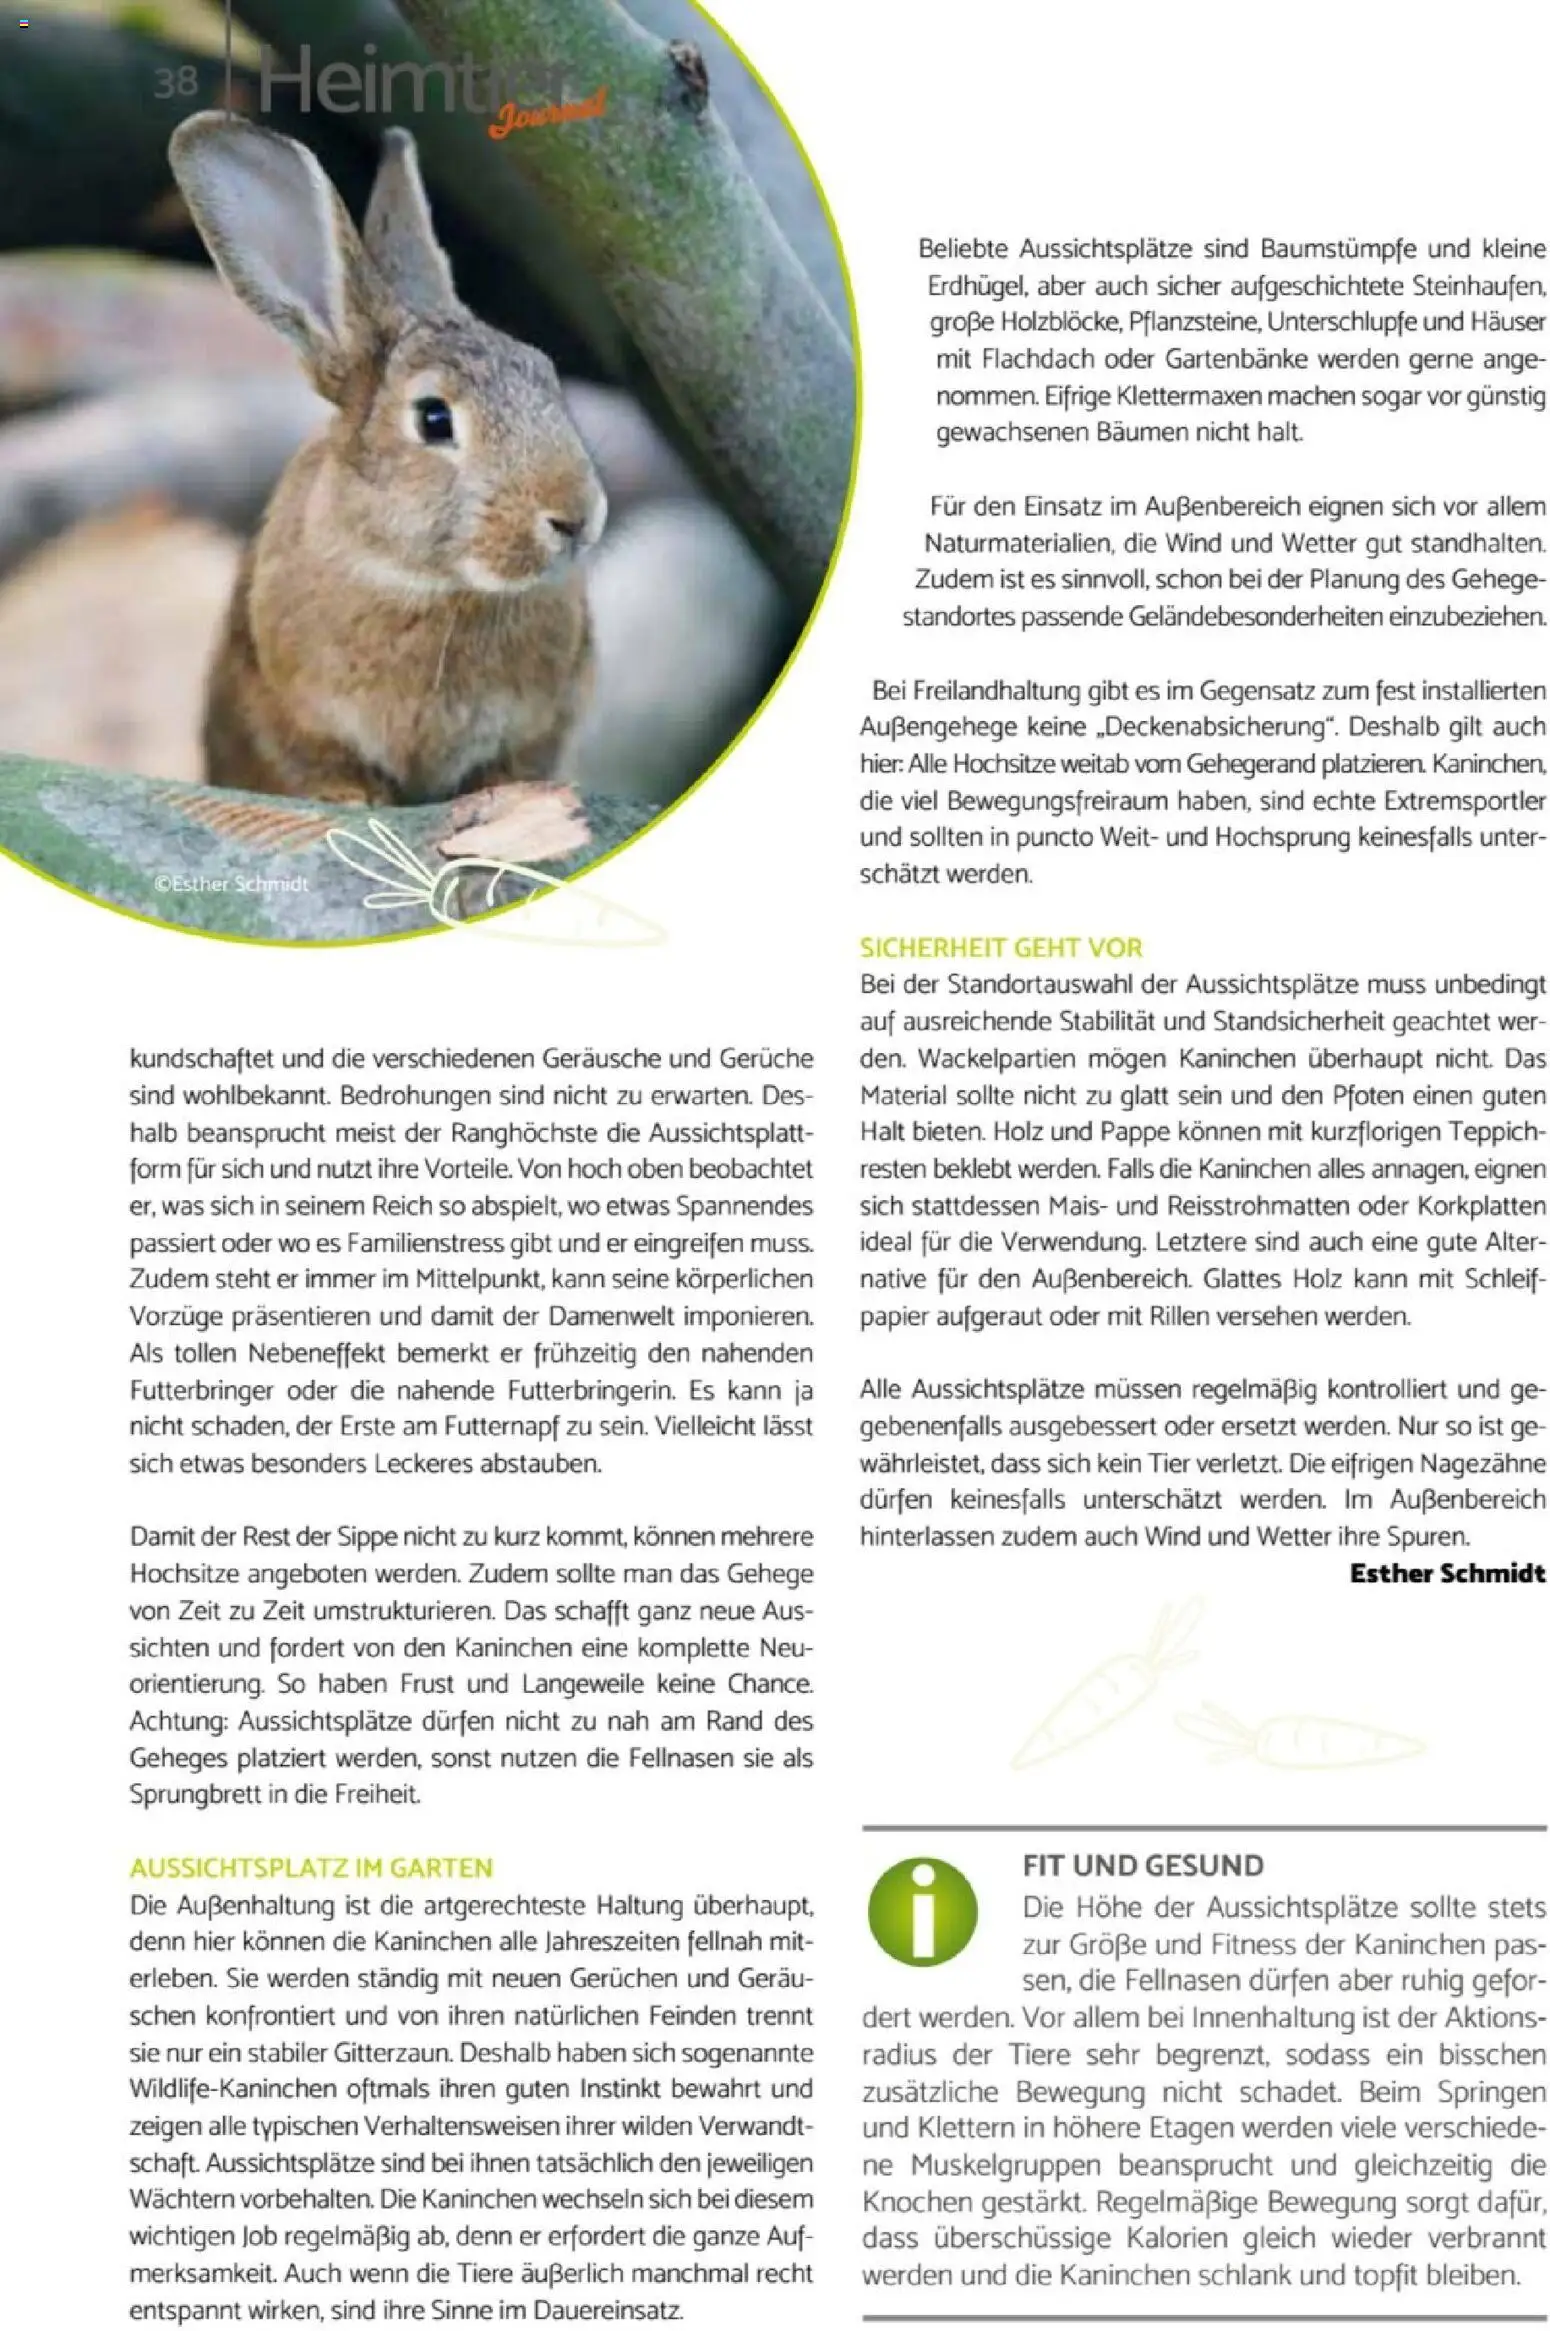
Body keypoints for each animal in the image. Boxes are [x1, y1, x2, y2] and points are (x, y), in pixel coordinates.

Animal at [167, 113, 607, 805]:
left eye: (544, 371)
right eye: (434, 419)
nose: (576, 517)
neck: (429, 586)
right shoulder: (290, 714)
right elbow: (319, 763)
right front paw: (354, 799)